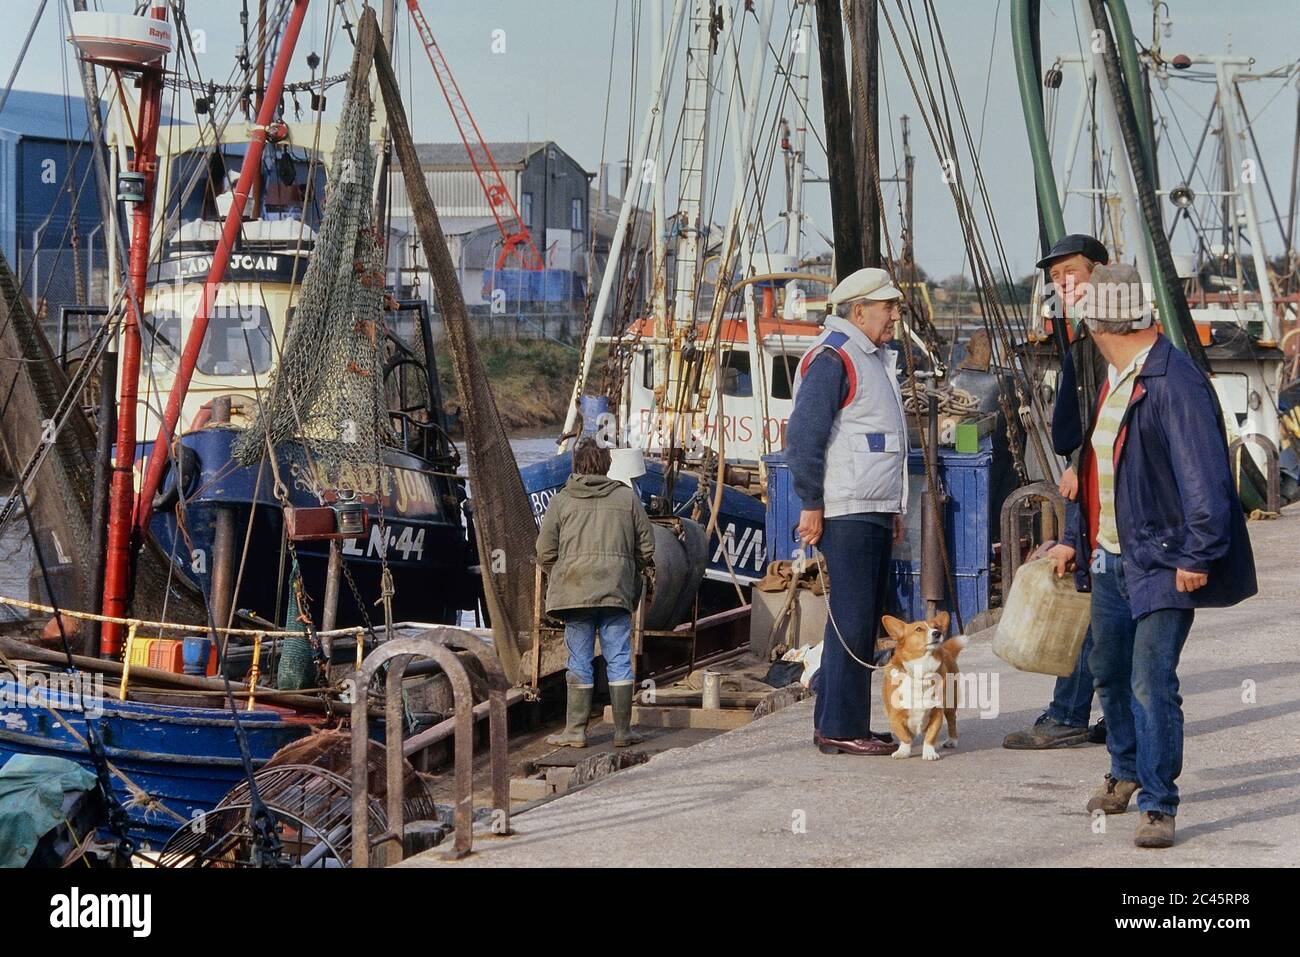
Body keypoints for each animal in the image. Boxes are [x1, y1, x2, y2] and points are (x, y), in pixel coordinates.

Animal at [878, 613, 972, 764]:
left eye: (936, 627)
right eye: (918, 629)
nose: (937, 633)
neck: (921, 671)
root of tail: (946, 651)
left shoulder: (937, 713)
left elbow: (930, 736)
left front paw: (929, 753)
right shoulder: (895, 716)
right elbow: (904, 736)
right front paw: (903, 751)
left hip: (950, 704)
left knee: (952, 721)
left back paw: (952, 740)